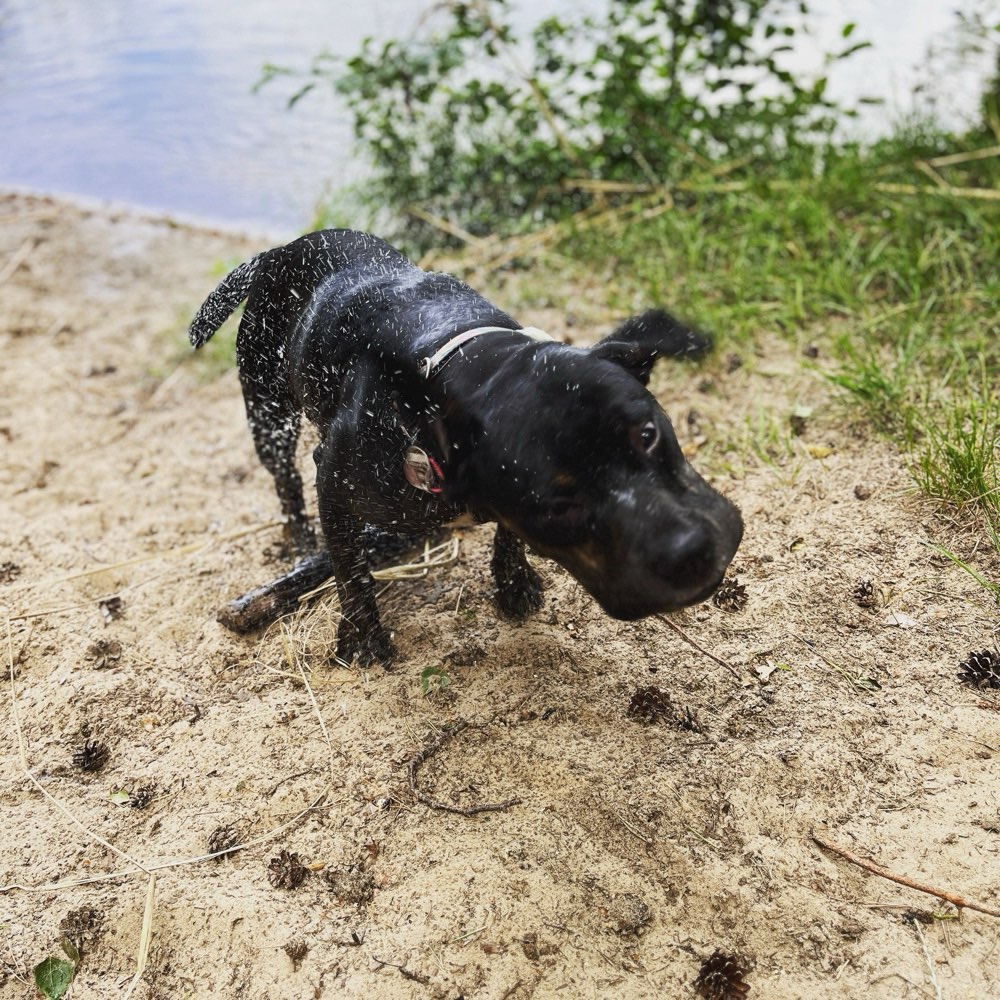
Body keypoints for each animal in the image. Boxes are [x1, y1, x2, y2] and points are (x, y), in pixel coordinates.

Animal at [193, 228, 744, 664]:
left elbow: (506, 534)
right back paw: (300, 537)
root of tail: (277, 252)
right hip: (269, 412)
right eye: (556, 507)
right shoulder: (334, 481)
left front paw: (514, 582)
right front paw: (363, 640)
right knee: (284, 479)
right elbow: (351, 569)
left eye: (648, 435)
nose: (692, 549)